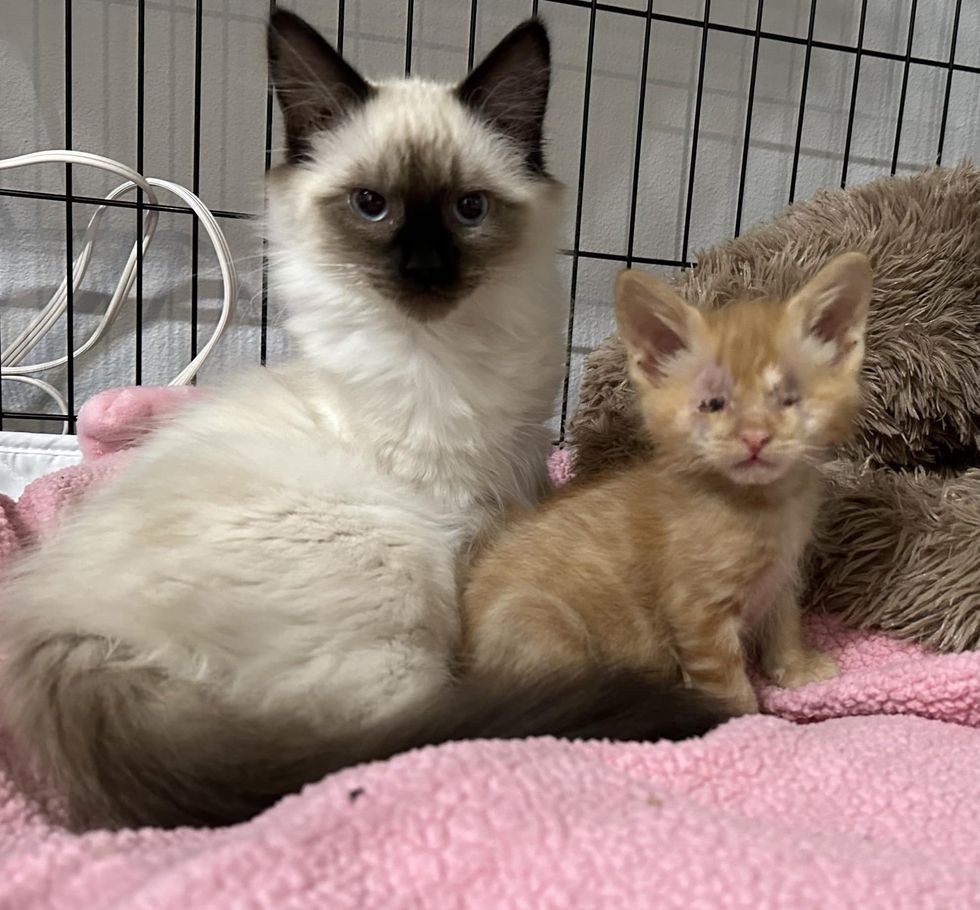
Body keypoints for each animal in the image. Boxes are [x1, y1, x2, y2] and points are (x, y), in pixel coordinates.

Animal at [466, 253, 872, 716]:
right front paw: (745, 718)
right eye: (713, 403)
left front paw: (799, 671)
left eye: (789, 399)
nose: (755, 437)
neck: (763, 506)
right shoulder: (698, 611)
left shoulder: (784, 577)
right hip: (541, 624)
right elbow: (725, 678)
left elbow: (784, 625)